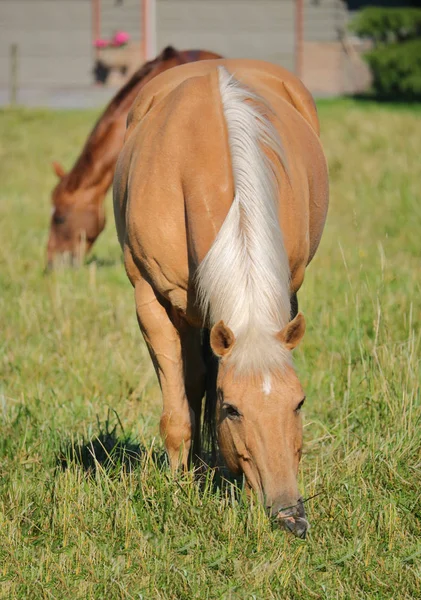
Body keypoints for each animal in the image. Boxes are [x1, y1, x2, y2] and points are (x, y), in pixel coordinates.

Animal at [112, 59, 328, 536]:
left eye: (299, 402)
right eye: (232, 410)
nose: (291, 517)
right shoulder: (152, 302)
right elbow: (178, 413)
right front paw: (179, 490)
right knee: (191, 384)